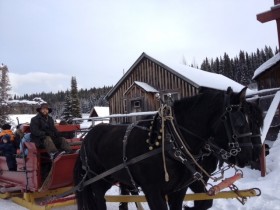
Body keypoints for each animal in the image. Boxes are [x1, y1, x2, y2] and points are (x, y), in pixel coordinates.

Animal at [73, 87, 260, 210]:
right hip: (98, 179)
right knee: (99, 199)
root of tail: (87, 137)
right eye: (239, 123)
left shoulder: (179, 189)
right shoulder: (153, 190)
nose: (249, 157)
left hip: (120, 178)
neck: (171, 142)